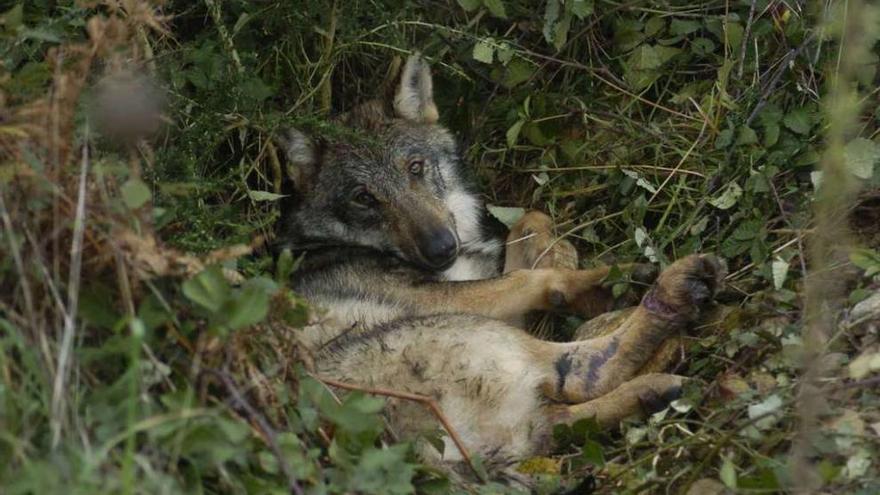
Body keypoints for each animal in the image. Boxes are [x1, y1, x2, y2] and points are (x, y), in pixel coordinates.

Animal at [276, 56, 720, 482]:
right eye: (364, 198)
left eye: (415, 167)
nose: (441, 248)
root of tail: (414, 456)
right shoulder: (438, 297)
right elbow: (529, 277)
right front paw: (602, 282)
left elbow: (530, 221)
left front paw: (571, 262)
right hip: (465, 328)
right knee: (582, 372)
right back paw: (670, 294)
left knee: (560, 418)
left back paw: (659, 385)